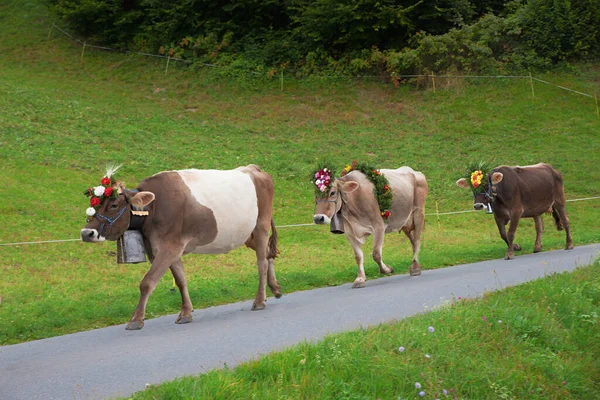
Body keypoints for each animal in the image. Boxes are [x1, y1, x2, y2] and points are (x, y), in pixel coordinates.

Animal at [80, 164, 284, 330]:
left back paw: (259, 301)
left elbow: (147, 282)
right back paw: (275, 288)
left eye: (114, 204)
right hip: (246, 233)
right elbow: (180, 280)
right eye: (94, 205)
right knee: (268, 254)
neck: (154, 207)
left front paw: (136, 319)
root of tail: (253, 169)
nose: (86, 233)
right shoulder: (161, 249)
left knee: (261, 262)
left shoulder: (169, 247)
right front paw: (186, 313)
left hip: (261, 225)